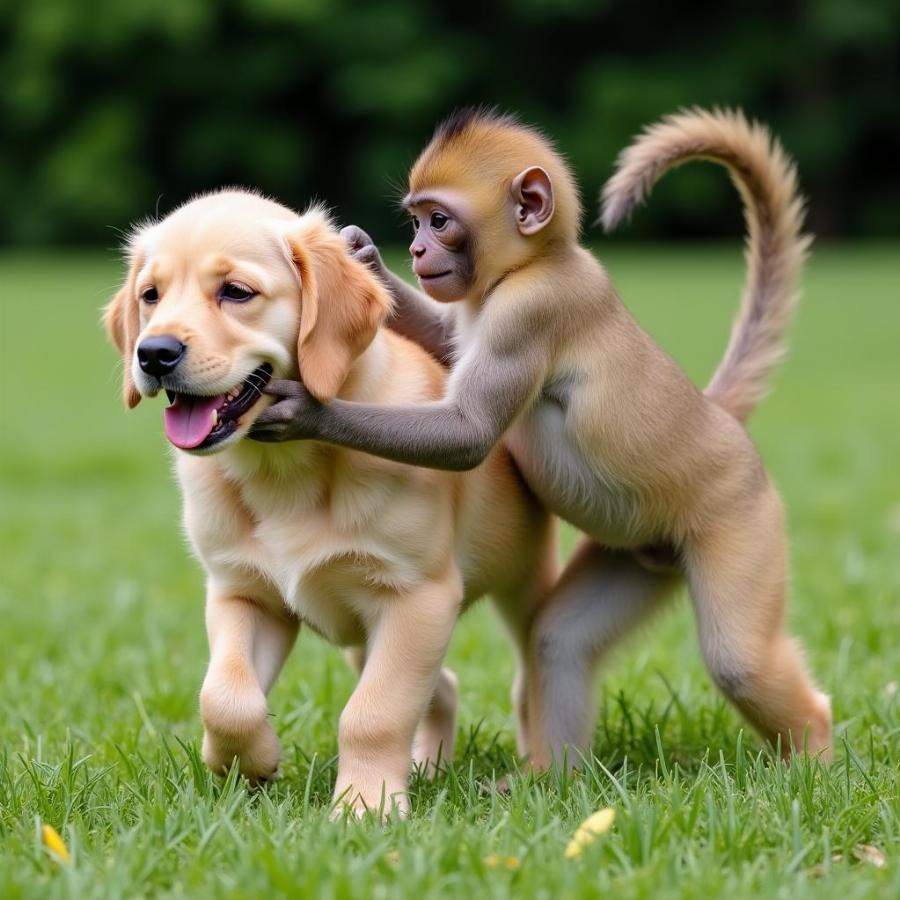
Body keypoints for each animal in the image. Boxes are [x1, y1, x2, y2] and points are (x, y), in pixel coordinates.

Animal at [105, 192, 556, 816]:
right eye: (151, 295)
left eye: (236, 292)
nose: (152, 353)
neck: (283, 470)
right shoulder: (242, 591)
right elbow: (224, 696)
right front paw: (252, 763)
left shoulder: (417, 598)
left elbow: (373, 713)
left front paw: (366, 808)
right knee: (441, 687)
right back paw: (429, 767)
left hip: (523, 586)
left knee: (531, 679)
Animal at [250, 107, 832, 768]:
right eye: (415, 221)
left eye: (439, 220)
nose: (419, 249)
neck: (535, 263)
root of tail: (721, 418)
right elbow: (447, 339)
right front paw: (365, 256)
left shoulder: (530, 309)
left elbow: (470, 435)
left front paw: (304, 414)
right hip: (645, 551)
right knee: (559, 639)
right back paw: (553, 778)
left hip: (739, 517)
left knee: (740, 661)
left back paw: (815, 754)